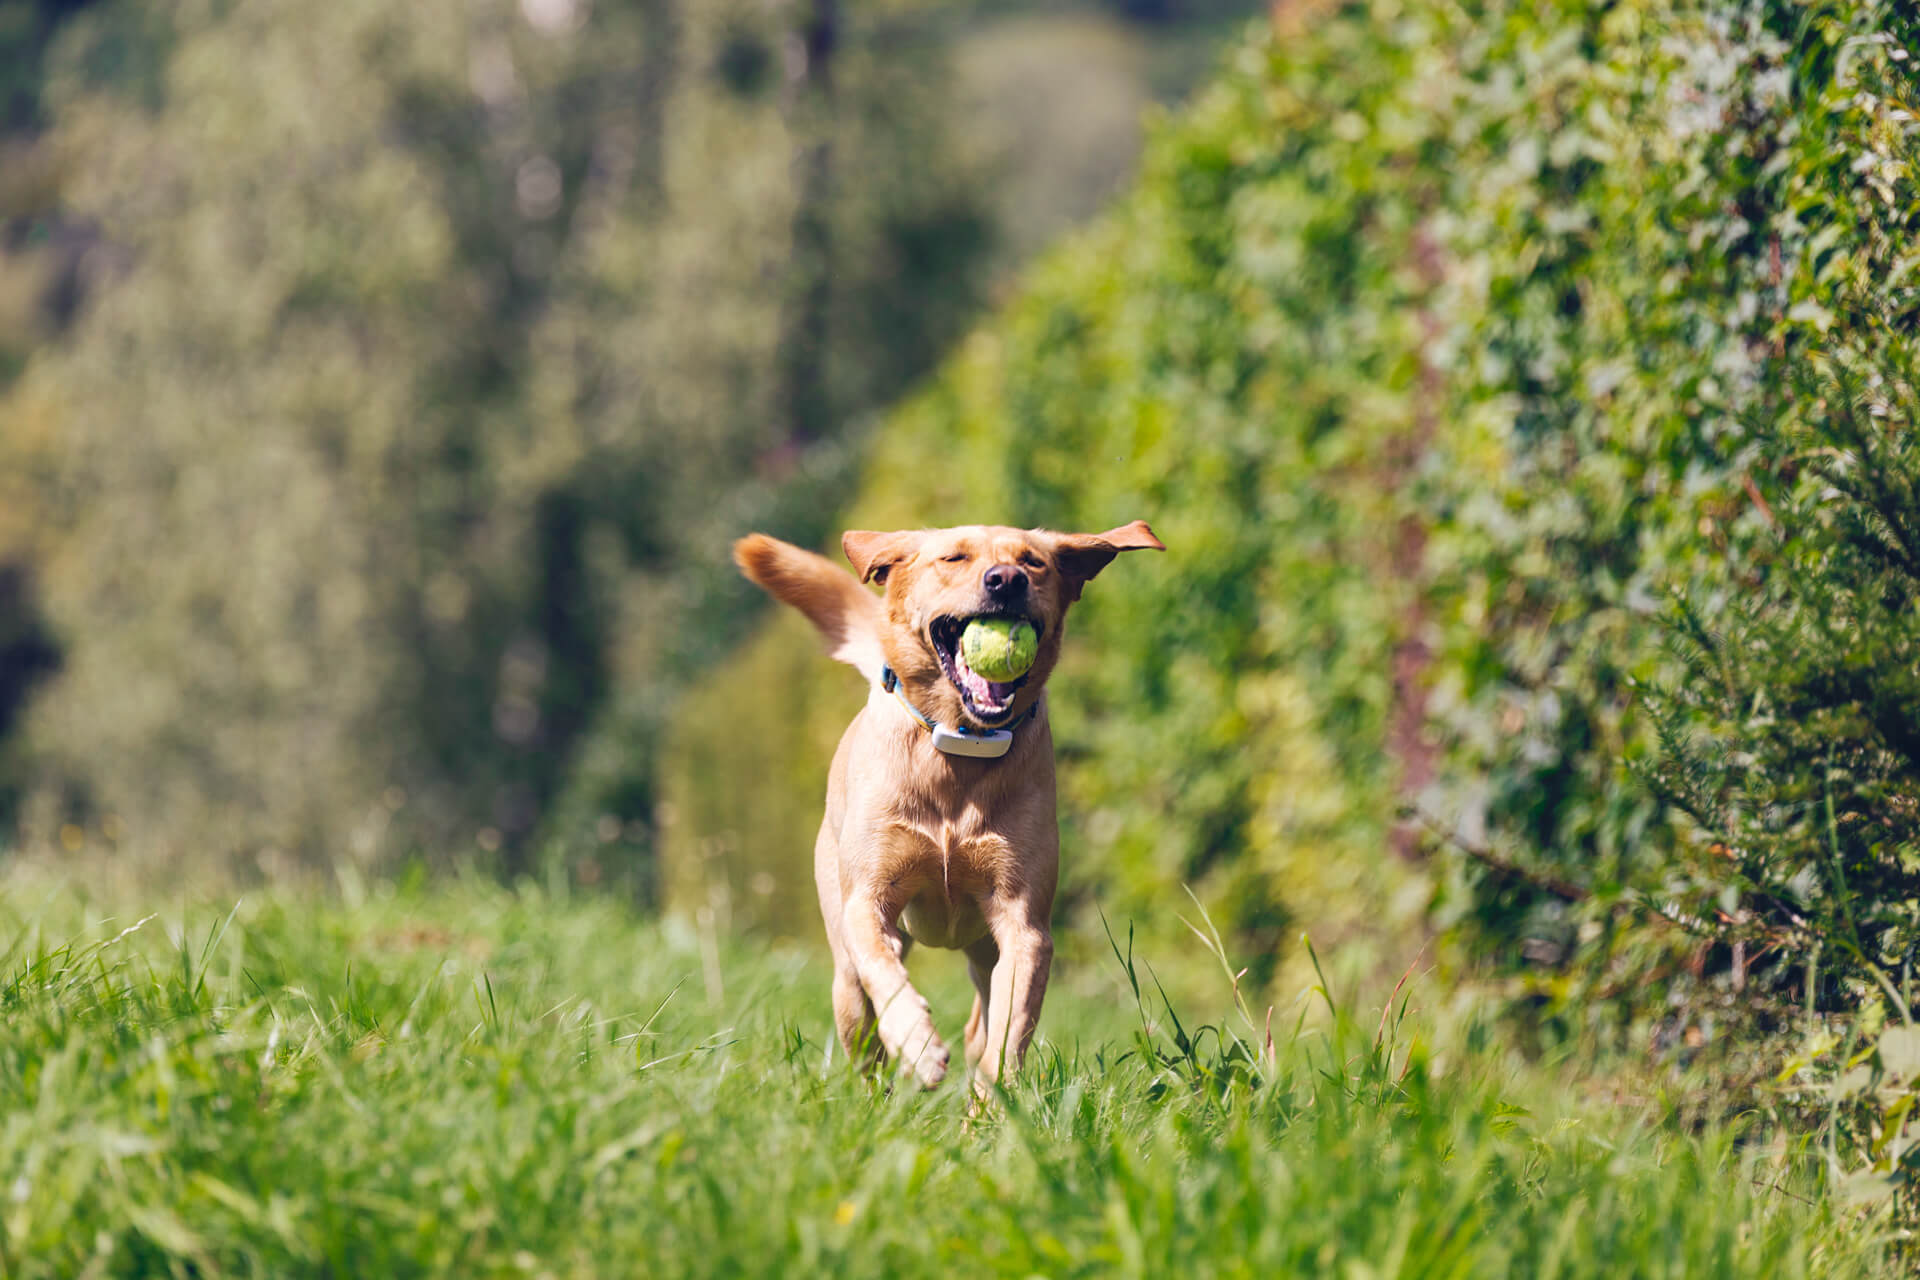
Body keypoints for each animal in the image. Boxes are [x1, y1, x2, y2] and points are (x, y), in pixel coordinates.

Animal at [729, 521, 1152, 1090]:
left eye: (1034, 562)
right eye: (954, 558)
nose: (1006, 580)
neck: (960, 746)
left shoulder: (1025, 926)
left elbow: (1008, 1035)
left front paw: (991, 1103)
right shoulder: (867, 900)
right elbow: (883, 969)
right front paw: (919, 1043)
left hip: (984, 952)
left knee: (981, 1021)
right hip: (846, 980)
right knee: (864, 1030)